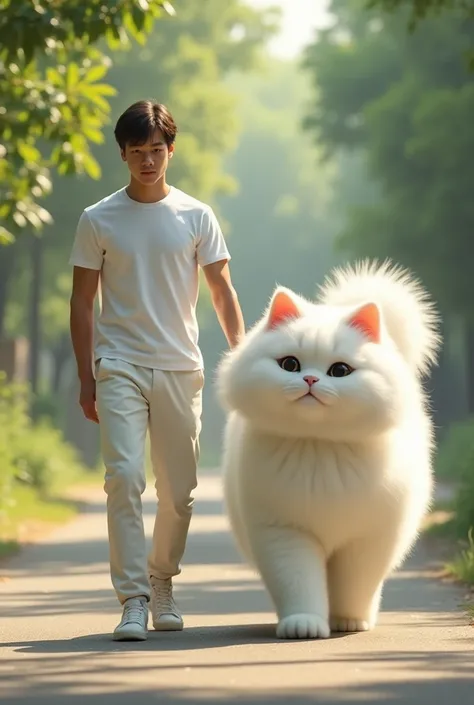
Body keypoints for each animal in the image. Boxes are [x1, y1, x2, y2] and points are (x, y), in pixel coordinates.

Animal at [218, 260, 440, 640]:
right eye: (289, 364)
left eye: (340, 370)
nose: (310, 380)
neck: (318, 445)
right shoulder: (285, 532)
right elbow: (298, 582)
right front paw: (303, 625)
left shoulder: (366, 538)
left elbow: (355, 584)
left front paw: (350, 620)